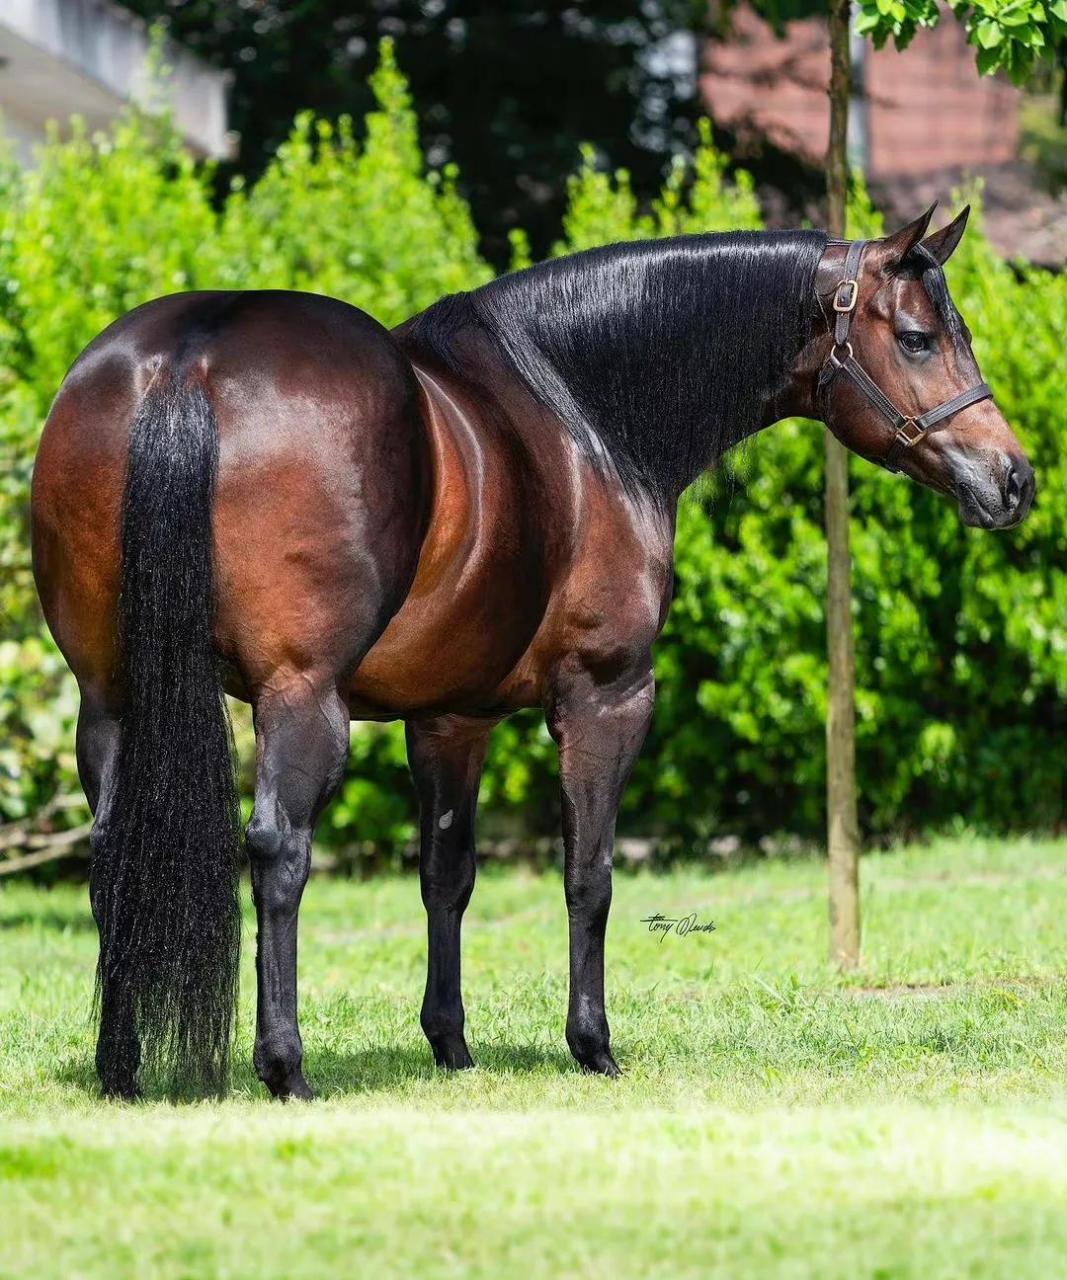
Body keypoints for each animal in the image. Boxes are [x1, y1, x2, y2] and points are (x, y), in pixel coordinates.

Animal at [30, 205, 1035, 1100]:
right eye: (916, 338)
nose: (1012, 480)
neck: (582, 413)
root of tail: (192, 354)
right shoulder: (606, 697)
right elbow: (588, 874)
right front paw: (592, 1045)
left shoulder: (448, 719)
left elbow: (446, 876)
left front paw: (450, 1044)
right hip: (299, 698)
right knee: (278, 849)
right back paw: (286, 1067)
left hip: (109, 697)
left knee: (113, 851)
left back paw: (119, 1066)